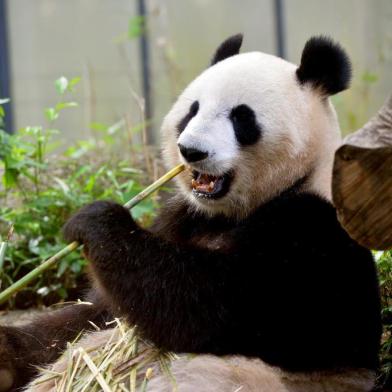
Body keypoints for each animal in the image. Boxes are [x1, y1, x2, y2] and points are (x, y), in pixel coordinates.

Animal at [0, 34, 382, 392]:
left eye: (241, 117)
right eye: (192, 110)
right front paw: (8, 354)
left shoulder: (311, 234)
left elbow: (205, 305)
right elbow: (94, 316)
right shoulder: (183, 217)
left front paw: (97, 222)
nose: (191, 150)